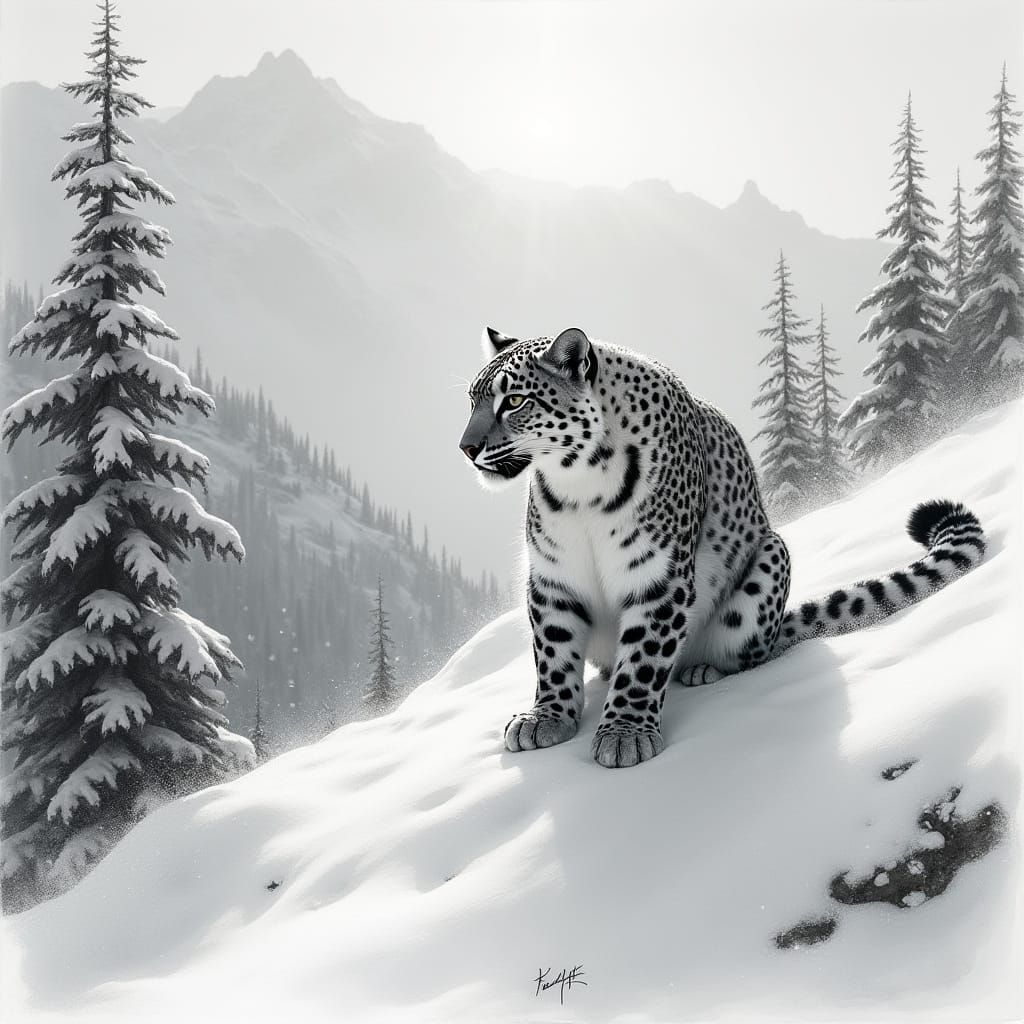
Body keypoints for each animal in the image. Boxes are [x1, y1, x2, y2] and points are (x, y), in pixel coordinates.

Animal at [459, 326, 987, 769]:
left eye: (515, 400)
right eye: (472, 401)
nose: (466, 448)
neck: (576, 485)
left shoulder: (659, 575)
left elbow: (644, 659)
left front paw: (625, 732)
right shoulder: (554, 577)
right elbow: (553, 653)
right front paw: (547, 718)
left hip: (769, 561)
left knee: (747, 655)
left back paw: (703, 670)